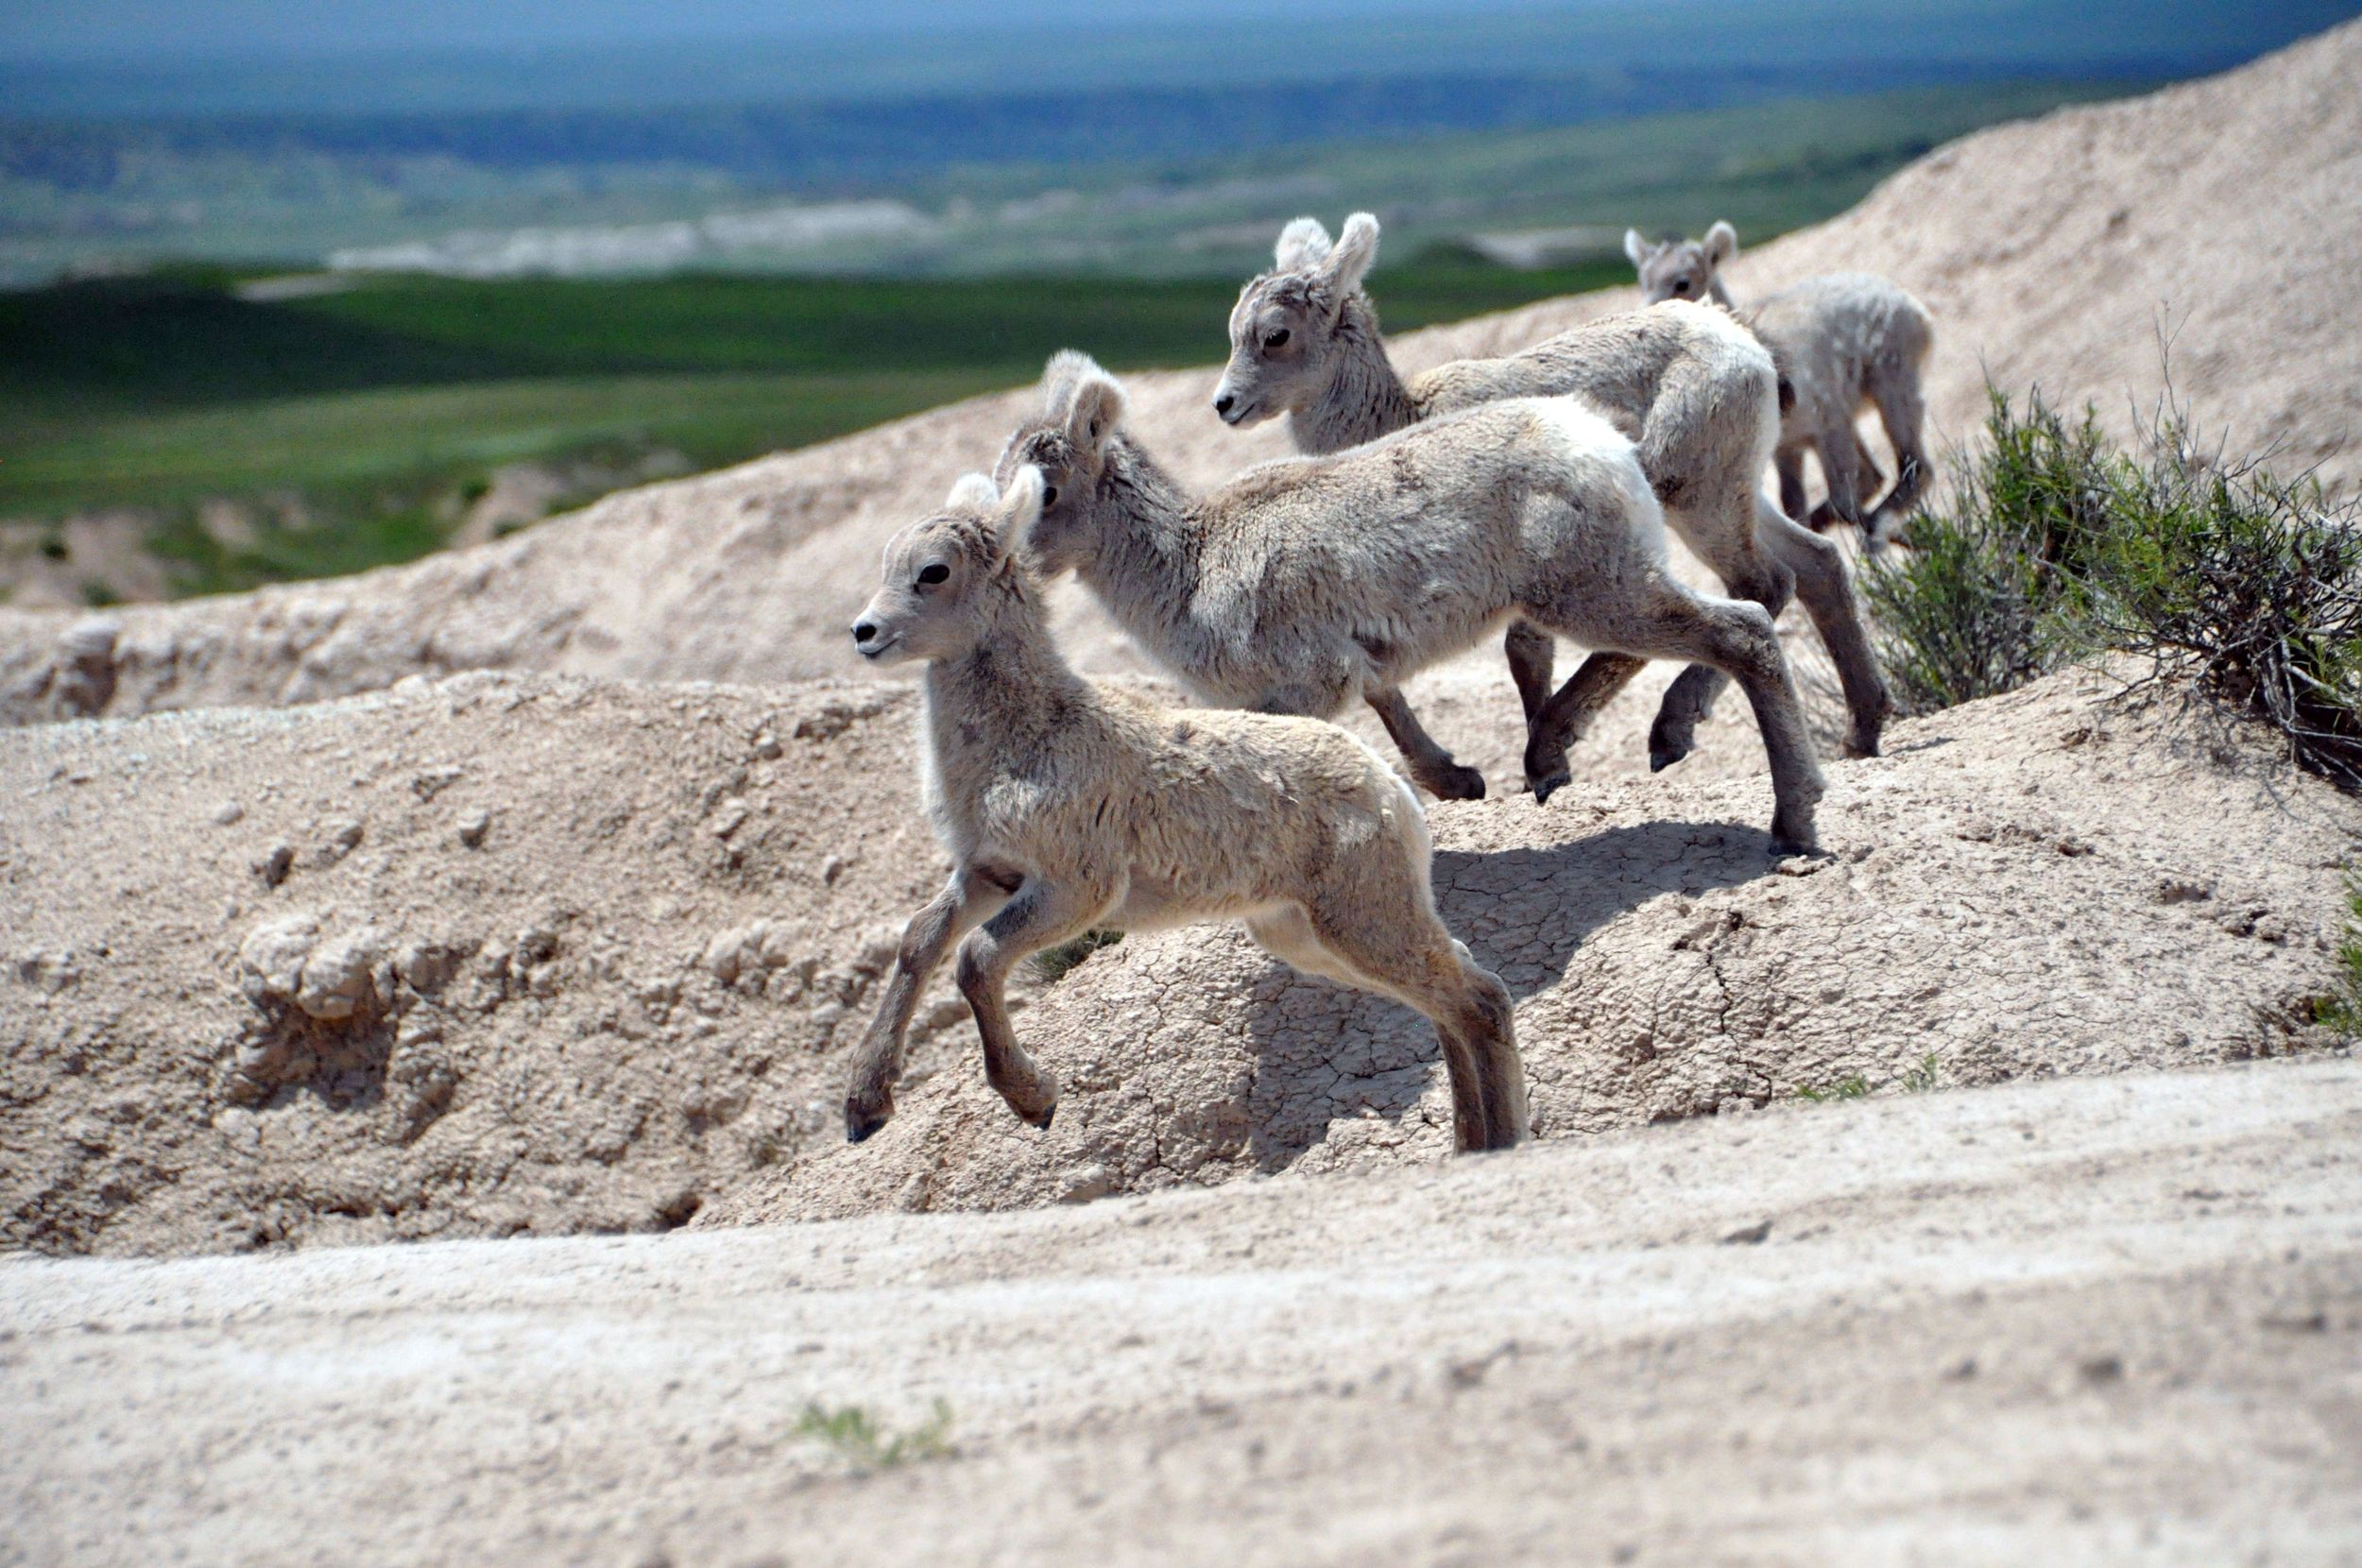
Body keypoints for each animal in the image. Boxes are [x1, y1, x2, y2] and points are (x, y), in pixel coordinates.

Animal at [840, 466, 1529, 1154]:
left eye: (934, 571)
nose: (864, 633)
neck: (1030, 735)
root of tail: (1392, 792)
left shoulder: (1075, 890)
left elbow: (975, 960)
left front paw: (1035, 1100)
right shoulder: (987, 872)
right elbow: (920, 941)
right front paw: (865, 1109)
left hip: (1364, 921)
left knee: (1478, 999)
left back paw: (1496, 1145)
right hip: (1308, 936)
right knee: (1454, 997)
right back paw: (1472, 1146)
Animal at [995, 350, 1827, 853]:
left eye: (1045, 491)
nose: (1004, 558)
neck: (1191, 568)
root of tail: (1603, 444)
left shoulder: (1306, 685)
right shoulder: (1359, 668)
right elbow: (1398, 723)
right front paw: (1463, 782)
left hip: (1594, 589)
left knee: (1743, 629)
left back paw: (1790, 823)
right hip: (1608, 581)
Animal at [1216, 212, 1892, 776]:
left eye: (1275, 335)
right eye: (1232, 332)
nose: (1224, 403)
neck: (1397, 417)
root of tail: (1750, 349)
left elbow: (1525, 651)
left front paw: (1547, 763)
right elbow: (1522, 658)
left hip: (1697, 498)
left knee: (1762, 585)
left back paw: (1671, 732)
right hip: (1736, 490)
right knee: (1817, 564)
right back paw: (1861, 733)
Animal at [1626, 222, 1935, 550]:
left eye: (1682, 283)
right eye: (1643, 281)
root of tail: (1915, 308)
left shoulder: (1829, 426)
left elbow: (1843, 500)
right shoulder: (1788, 449)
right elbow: (1797, 508)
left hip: (1893, 386)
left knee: (1914, 467)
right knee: (1874, 476)